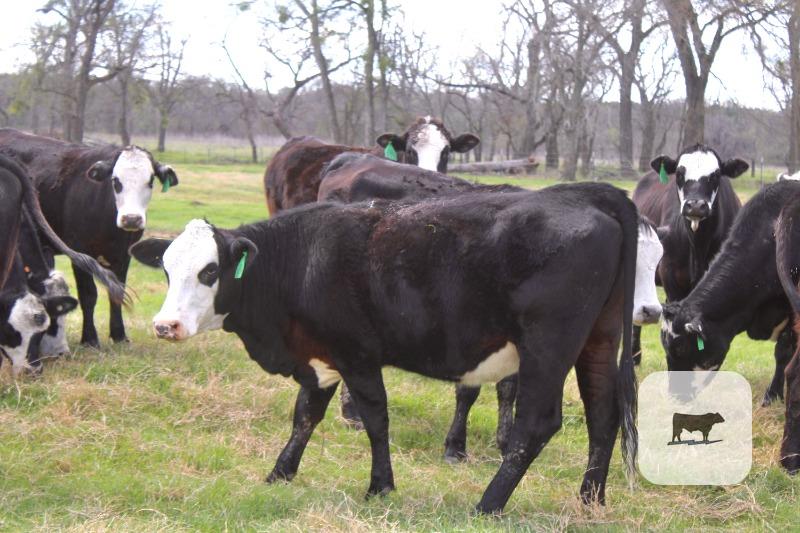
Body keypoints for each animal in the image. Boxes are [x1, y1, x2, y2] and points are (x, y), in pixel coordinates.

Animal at [0, 128, 176, 347]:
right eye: (116, 181)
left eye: (150, 181)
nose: (131, 219)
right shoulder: (80, 251)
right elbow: (88, 295)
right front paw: (90, 338)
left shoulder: (123, 255)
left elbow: (117, 292)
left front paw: (119, 335)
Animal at [131, 182, 639, 514]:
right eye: (167, 269)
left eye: (210, 271)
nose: (165, 325)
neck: (301, 260)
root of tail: (584, 194)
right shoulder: (320, 356)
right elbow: (305, 415)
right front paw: (280, 473)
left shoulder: (357, 355)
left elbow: (375, 419)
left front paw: (380, 486)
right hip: (598, 339)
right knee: (602, 414)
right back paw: (590, 499)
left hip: (547, 347)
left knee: (536, 424)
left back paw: (489, 504)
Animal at [317, 152, 662, 462]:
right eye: (630, 265)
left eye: (656, 262)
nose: (651, 311)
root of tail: (351, 159)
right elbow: (469, 390)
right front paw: (455, 446)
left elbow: (509, 387)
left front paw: (504, 439)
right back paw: (352, 413)